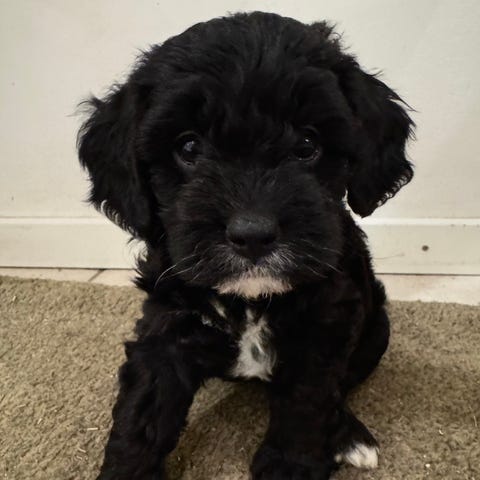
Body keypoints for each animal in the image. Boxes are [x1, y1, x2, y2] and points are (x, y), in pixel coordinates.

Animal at [78, 11, 414, 480]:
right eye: (188, 146)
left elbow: (308, 404)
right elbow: (143, 411)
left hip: (375, 329)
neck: (251, 300)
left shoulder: (323, 330)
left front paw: (290, 466)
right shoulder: (165, 327)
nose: (252, 234)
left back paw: (349, 435)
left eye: (307, 144)